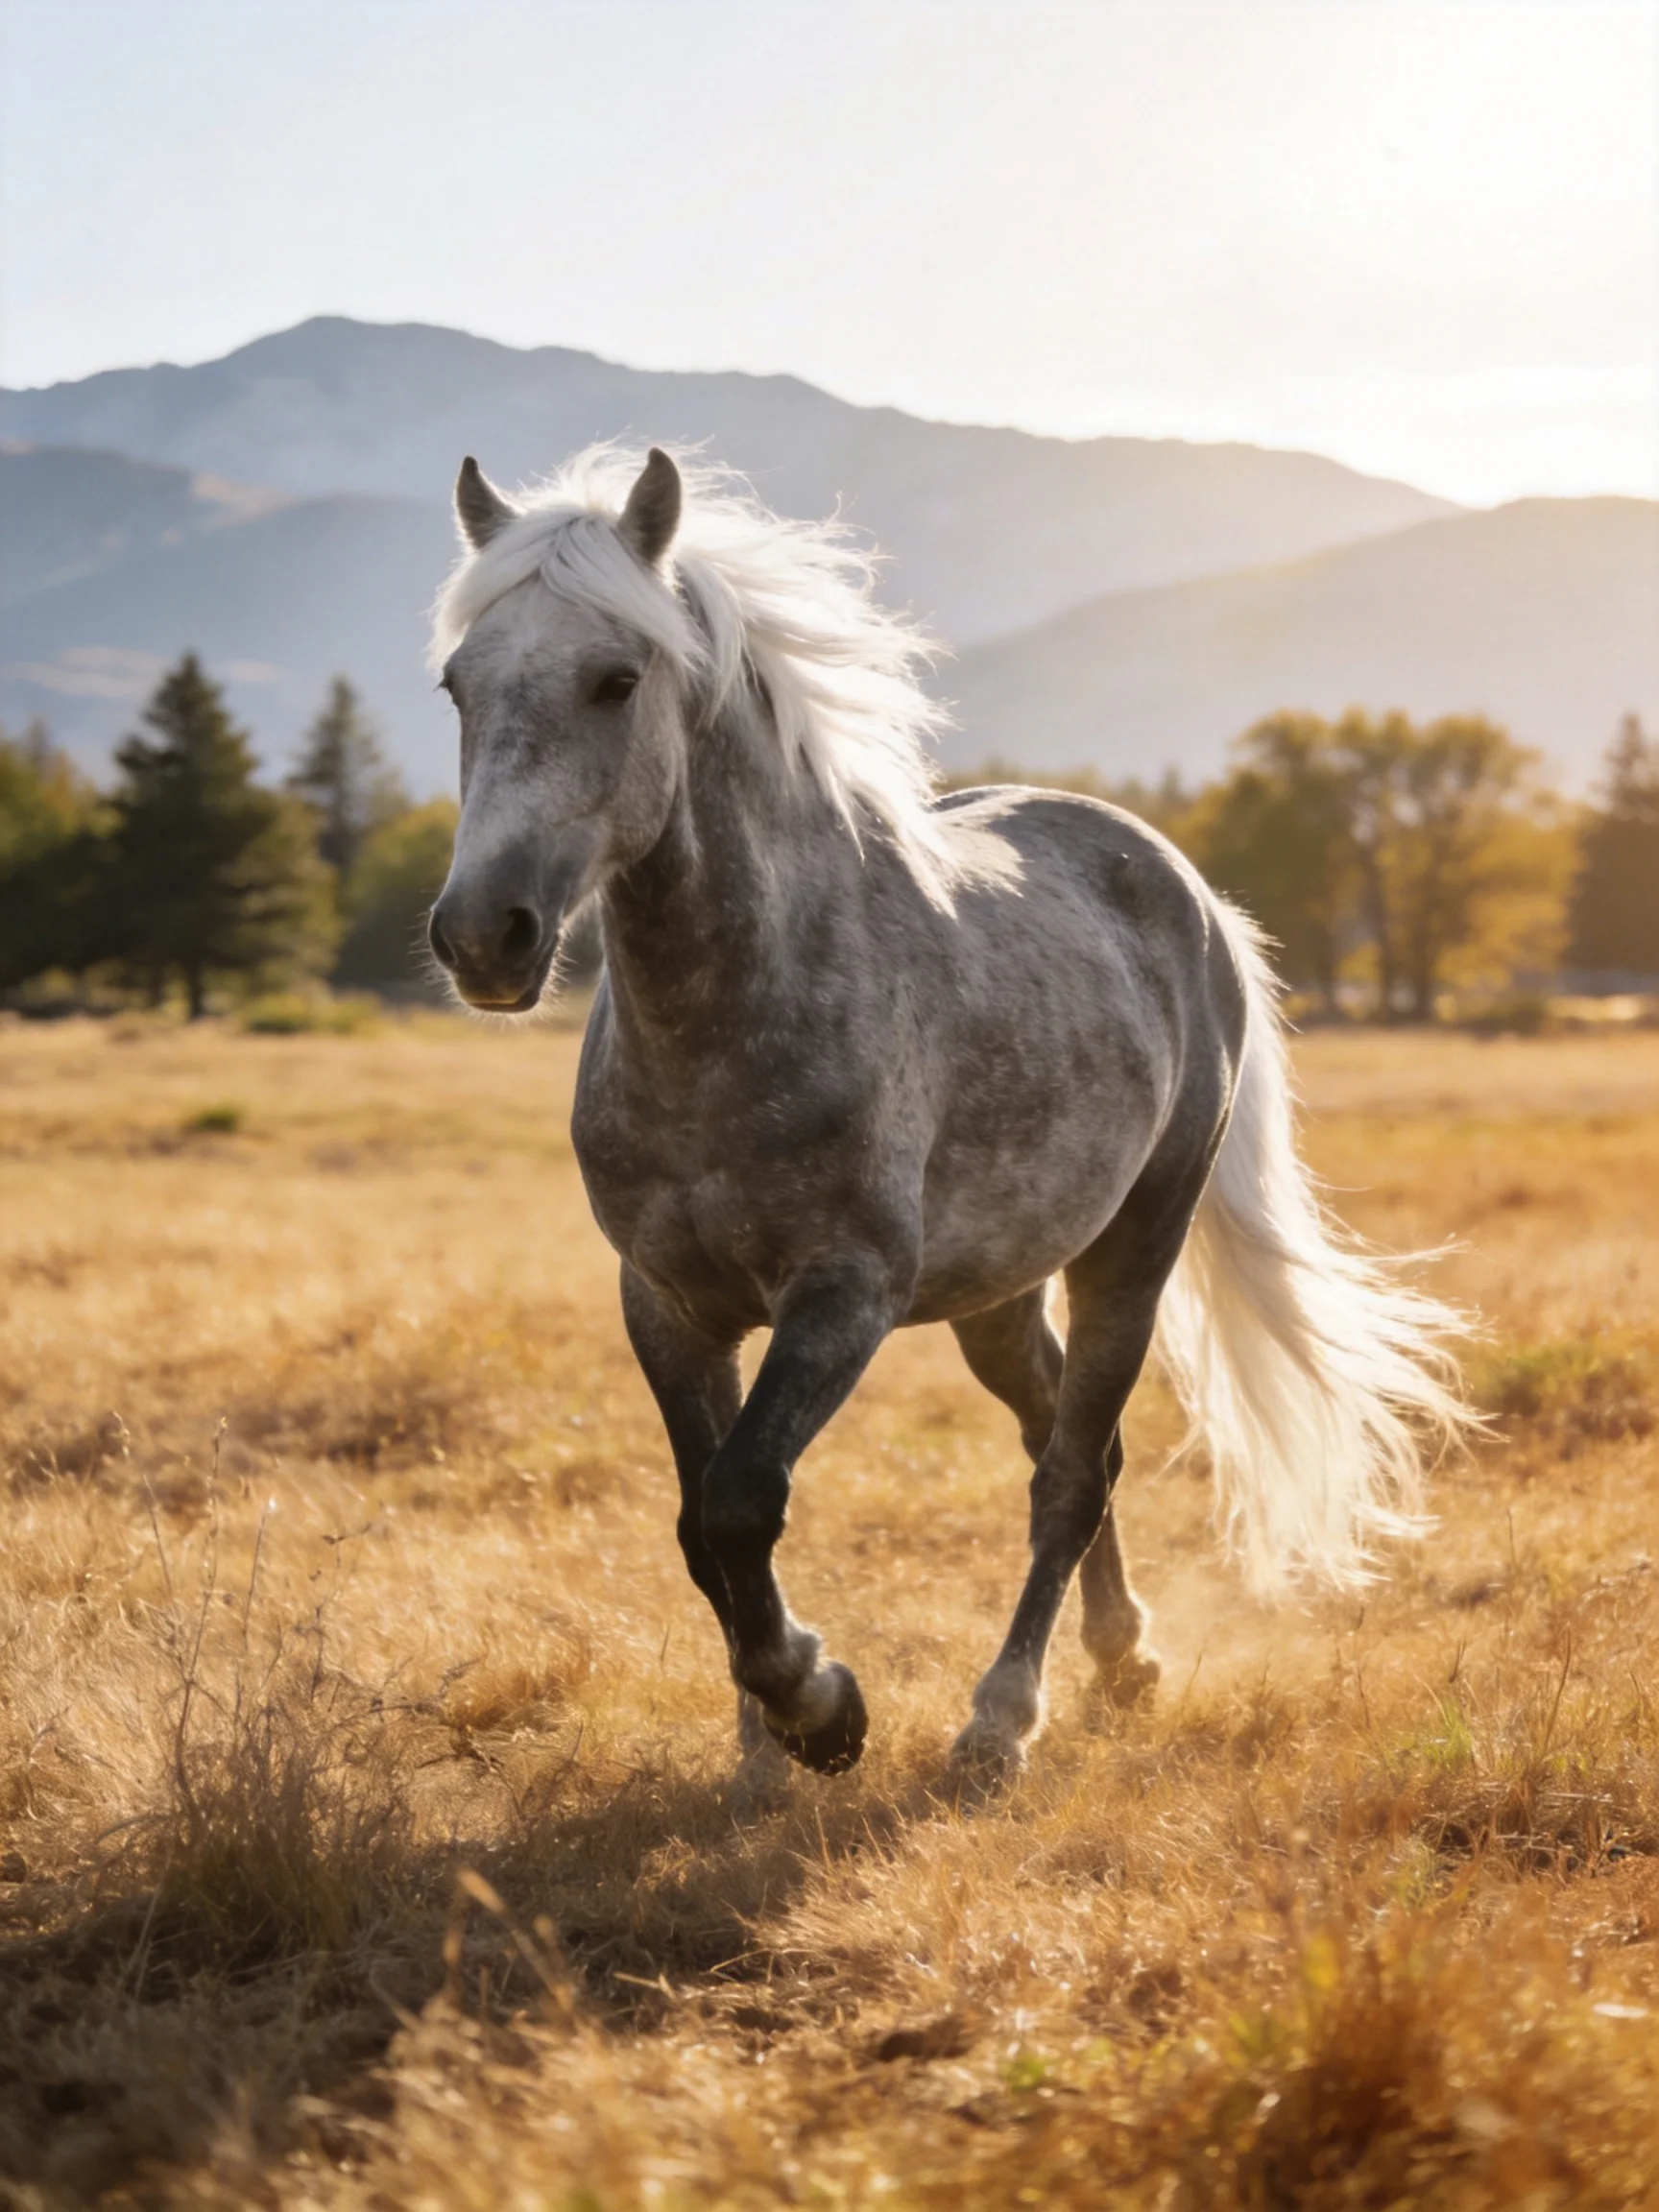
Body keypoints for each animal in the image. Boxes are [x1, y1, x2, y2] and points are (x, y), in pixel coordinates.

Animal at [426, 443, 1468, 1787]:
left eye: (616, 679)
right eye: (458, 684)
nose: (480, 937)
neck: (728, 1020)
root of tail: (1185, 890)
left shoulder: (845, 1292)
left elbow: (741, 1499)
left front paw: (822, 1710)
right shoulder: (664, 1302)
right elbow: (700, 1523)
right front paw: (763, 1748)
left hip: (1134, 1244)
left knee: (1073, 1470)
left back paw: (1001, 1722)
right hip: (997, 1290)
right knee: (1068, 1441)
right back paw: (1123, 1661)